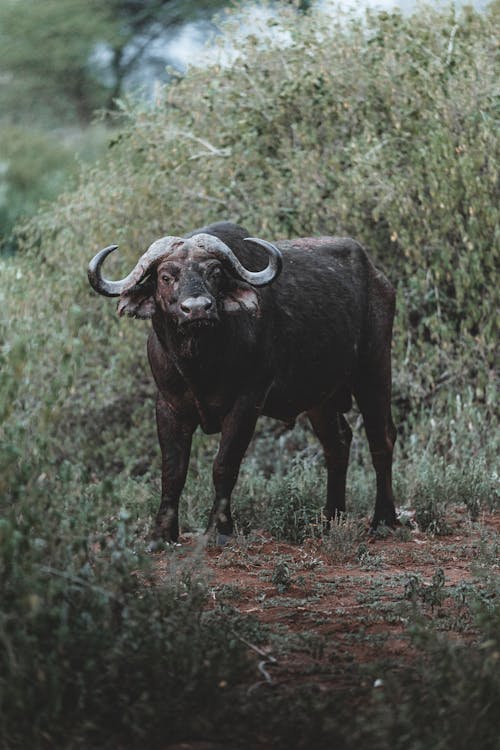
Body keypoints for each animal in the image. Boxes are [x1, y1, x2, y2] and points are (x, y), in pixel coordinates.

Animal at [88, 220, 396, 544]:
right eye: (165, 276)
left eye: (214, 273)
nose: (197, 308)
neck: (200, 364)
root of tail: (378, 279)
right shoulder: (168, 405)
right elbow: (173, 470)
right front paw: (162, 534)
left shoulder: (247, 402)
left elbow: (224, 464)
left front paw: (219, 529)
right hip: (320, 398)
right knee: (337, 444)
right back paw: (329, 519)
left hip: (374, 369)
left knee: (381, 438)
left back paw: (383, 520)